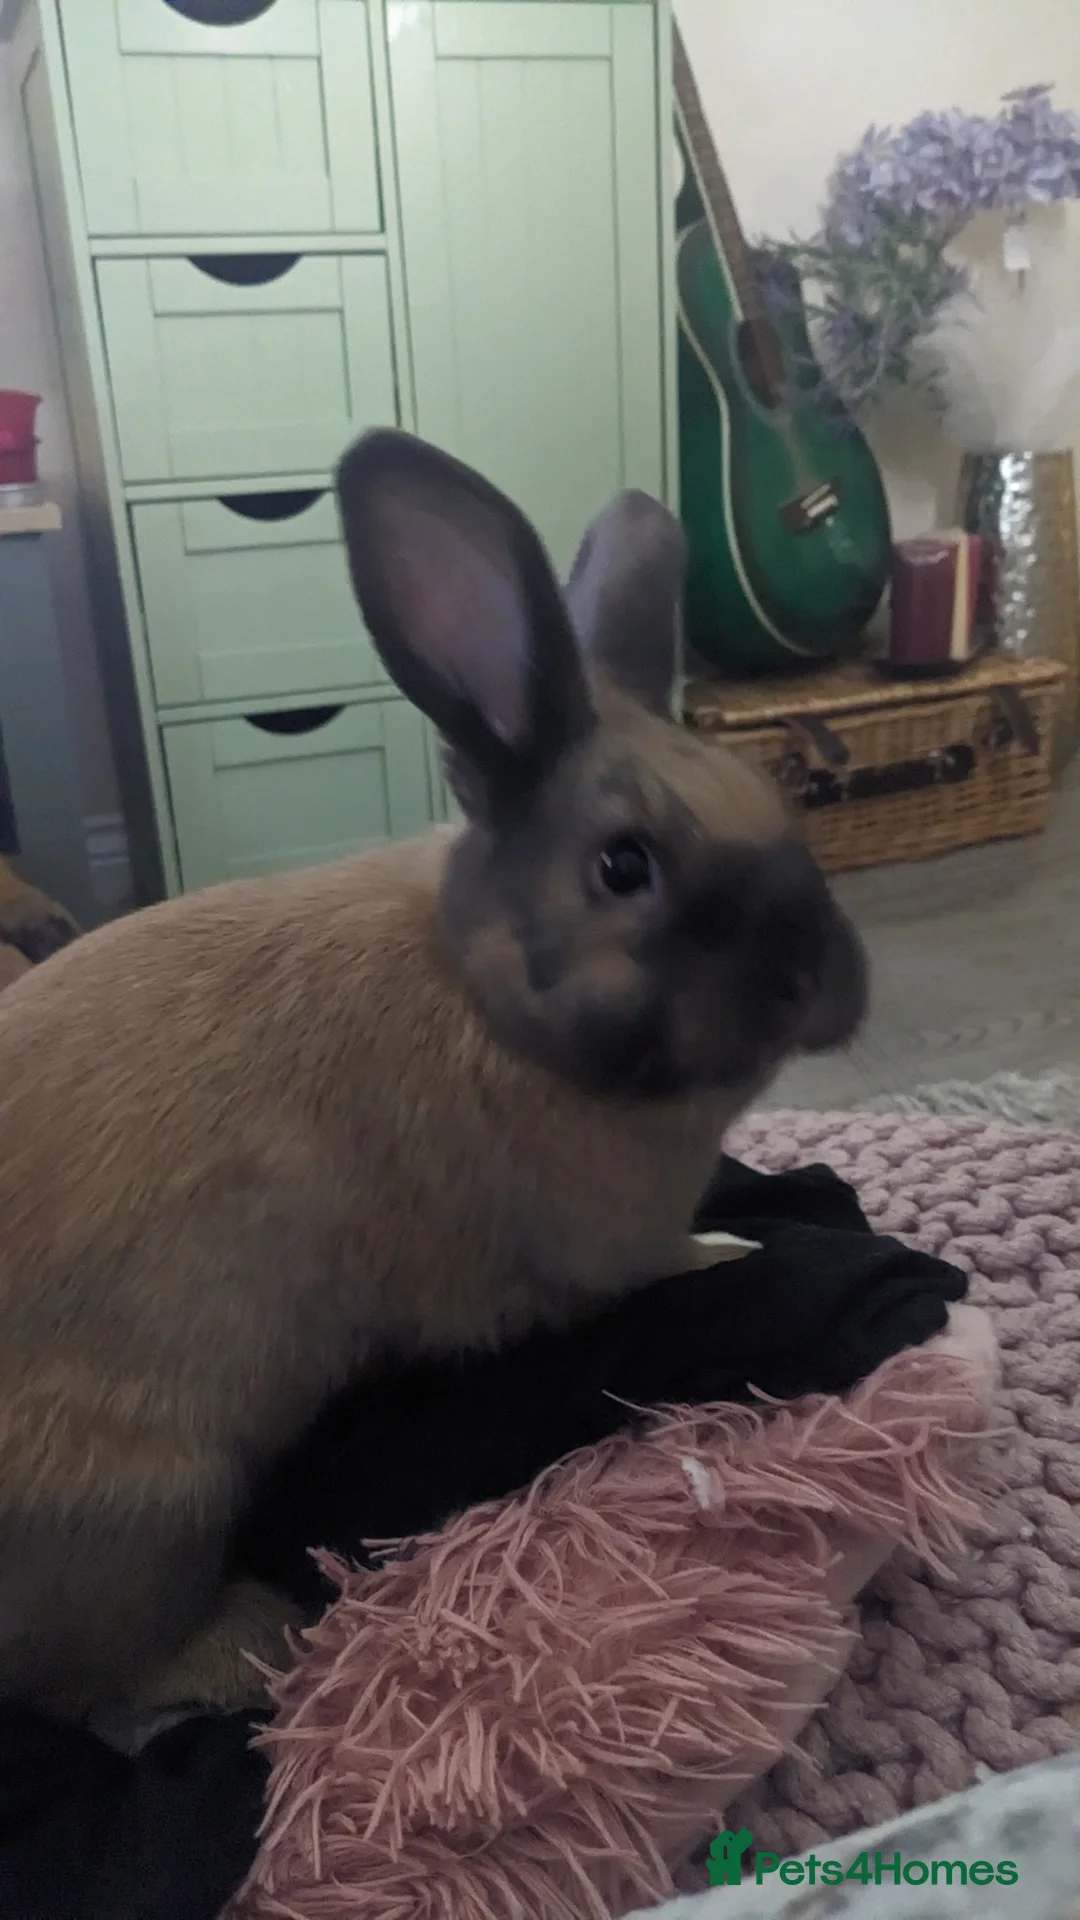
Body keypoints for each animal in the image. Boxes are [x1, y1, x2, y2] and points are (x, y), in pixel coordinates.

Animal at [0, 428, 866, 1724]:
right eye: (623, 866)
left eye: (784, 805)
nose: (824, 979)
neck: (487, 998)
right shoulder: (590, 1256)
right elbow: (662, 1264)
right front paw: (732, 1249)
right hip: (149, 1502)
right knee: (102, 1680)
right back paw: (254, 1644)